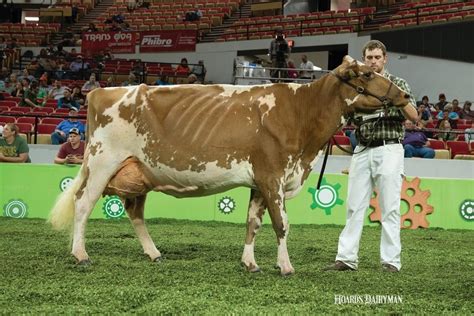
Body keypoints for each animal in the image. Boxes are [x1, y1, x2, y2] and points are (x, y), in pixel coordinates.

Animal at [50, 56, 410, 274]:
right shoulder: (272, 175)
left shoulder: (260, 181)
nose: (405, 96)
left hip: (138, 171)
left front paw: (250, 263)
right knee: (83, 204)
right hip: (102, 162)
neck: (301, 114)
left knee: (134, 212)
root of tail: (101, 92)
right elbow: (282, 224)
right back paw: (81, 255)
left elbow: (253, 223)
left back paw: (153, 253)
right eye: (367, 74)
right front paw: (285, 266)